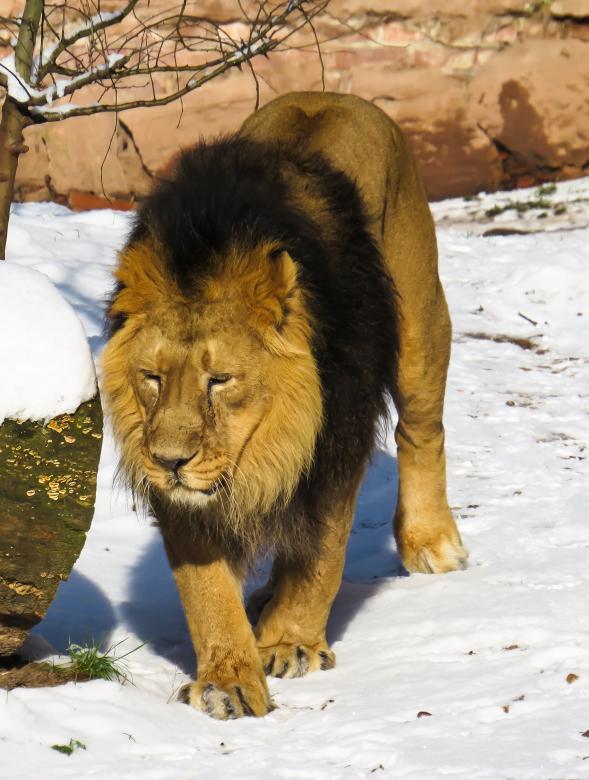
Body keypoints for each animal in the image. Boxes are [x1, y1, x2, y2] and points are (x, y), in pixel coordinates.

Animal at [102, 92, 468, 720]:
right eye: (152, 378)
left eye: (220, 380)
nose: (169, 461)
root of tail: (334, 95)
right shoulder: (188, 496)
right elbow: (206, 590)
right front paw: (227, 678)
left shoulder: (337, 441)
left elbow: (320, 556)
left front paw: (291, 642)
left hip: (419, 325)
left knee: (422, 430)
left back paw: (431, 541)